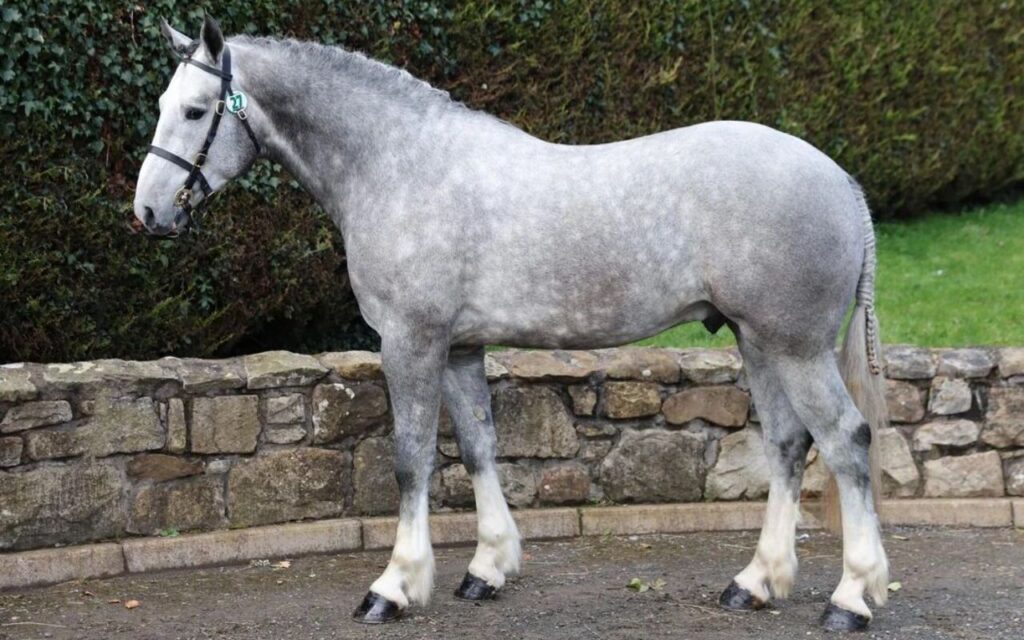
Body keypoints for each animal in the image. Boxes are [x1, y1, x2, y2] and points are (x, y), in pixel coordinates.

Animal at [134, 17, 890, 632]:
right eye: (164, 105)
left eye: (196, 110)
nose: (148, 213)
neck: (399, 164)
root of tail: (843, 182)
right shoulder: (461, 348)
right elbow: (478, 448)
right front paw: (487, 569)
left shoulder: (411, 342)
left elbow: (410, 459)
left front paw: (394, 586)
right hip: (757, 342)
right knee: (790, 444)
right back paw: (756, 583)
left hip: (797, 348)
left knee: (846, 440)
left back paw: (851, 598)